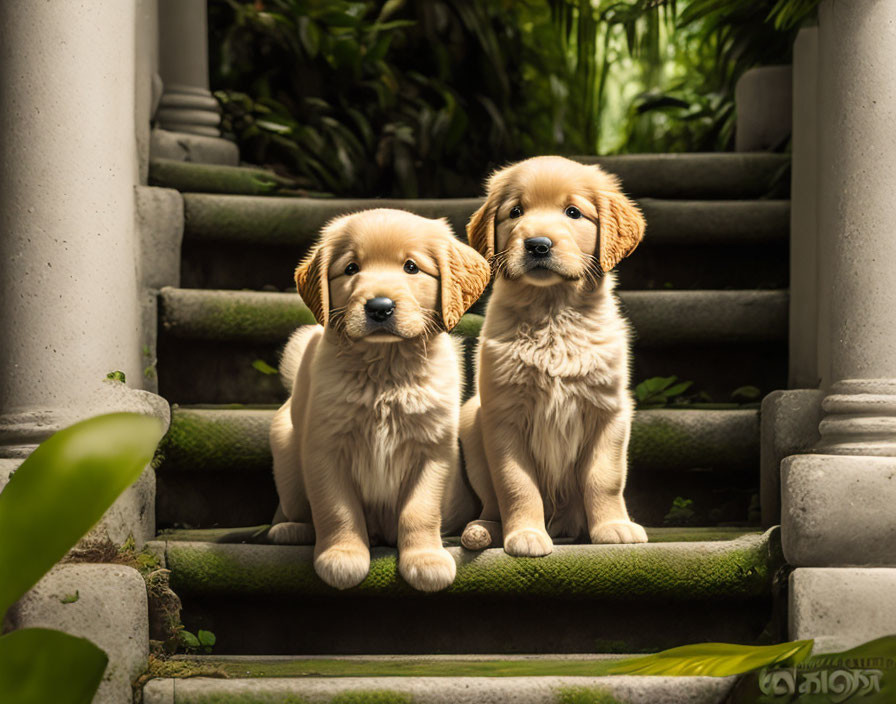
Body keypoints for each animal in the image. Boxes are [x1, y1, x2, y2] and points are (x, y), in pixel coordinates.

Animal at [270, 206, 490, 592]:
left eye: (411, 267)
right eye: (351, 268)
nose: (379, 307)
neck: (386, 369)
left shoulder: (433, 451)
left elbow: (420, 511)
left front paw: (426, 559)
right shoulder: (325, 448)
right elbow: (337, 509)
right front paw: (342, 556)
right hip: (285, 451)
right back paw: (289, 530)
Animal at [458, 157, 648, 560]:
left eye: (573, 212)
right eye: (516, 212)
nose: (538, 245)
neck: (552, 314)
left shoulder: (610, 409)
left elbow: (604, 477)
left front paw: (613, 527)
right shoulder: (503, 416)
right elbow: (516, 484)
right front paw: (525, 534)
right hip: (470, 418)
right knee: (491, 505)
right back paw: (482, 530)